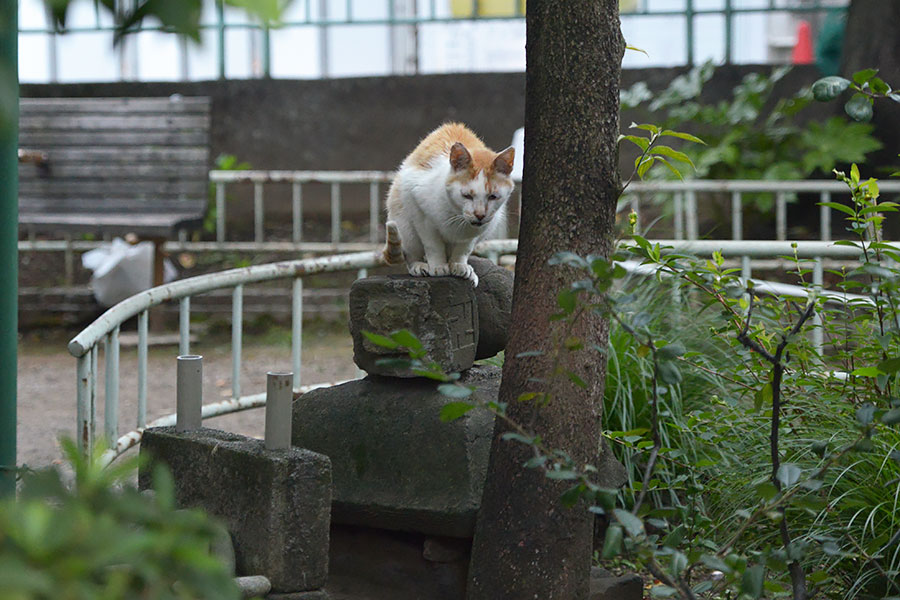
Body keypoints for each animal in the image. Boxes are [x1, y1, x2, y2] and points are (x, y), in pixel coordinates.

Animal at [384, 122, 516, 286]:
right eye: (467, 196)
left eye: (493, 197)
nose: (479, 215)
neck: (456, 215)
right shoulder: (420, 211)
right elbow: (433, 245)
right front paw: (439, 266)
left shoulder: (475, 233)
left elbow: (464, 249)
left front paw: (459, 265)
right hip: (404, 227)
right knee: (411, 253)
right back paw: (419, 266)